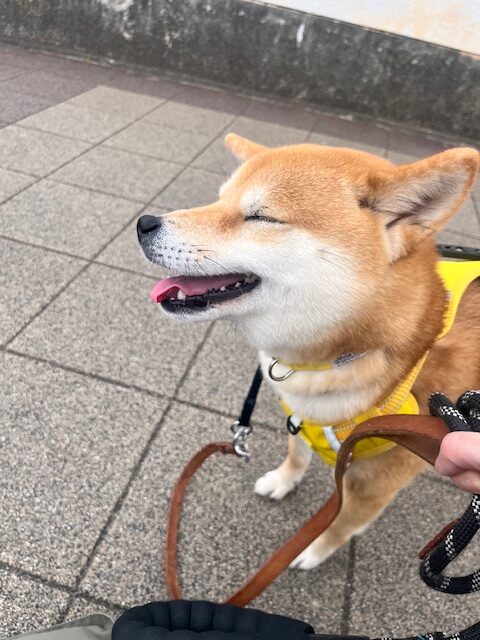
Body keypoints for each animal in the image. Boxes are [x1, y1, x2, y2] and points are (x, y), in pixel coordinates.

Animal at [138, 135, 480, 569]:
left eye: (261, 217)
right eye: (218, 199)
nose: (144, 224)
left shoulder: (376, 485)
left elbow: (340, 524)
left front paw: (311, 552)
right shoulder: (300, 416)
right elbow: (297, 456)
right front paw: (282, 481)